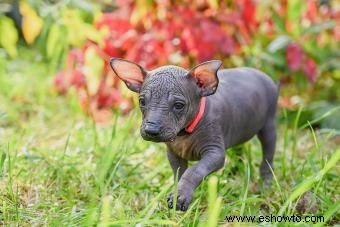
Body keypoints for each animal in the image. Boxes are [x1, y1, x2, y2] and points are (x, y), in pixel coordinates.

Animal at [110, 58, 278, 211]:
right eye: (142, 101)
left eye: (179, 105)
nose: (151, 130)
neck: (185, 132)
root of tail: (263, 74)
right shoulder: (173, 154)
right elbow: (179, 174)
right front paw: (178, 194)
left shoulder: (214, 153)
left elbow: (194, 171)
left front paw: (182, 196)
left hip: (269, 124)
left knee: (268, 156)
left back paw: (266, 184)